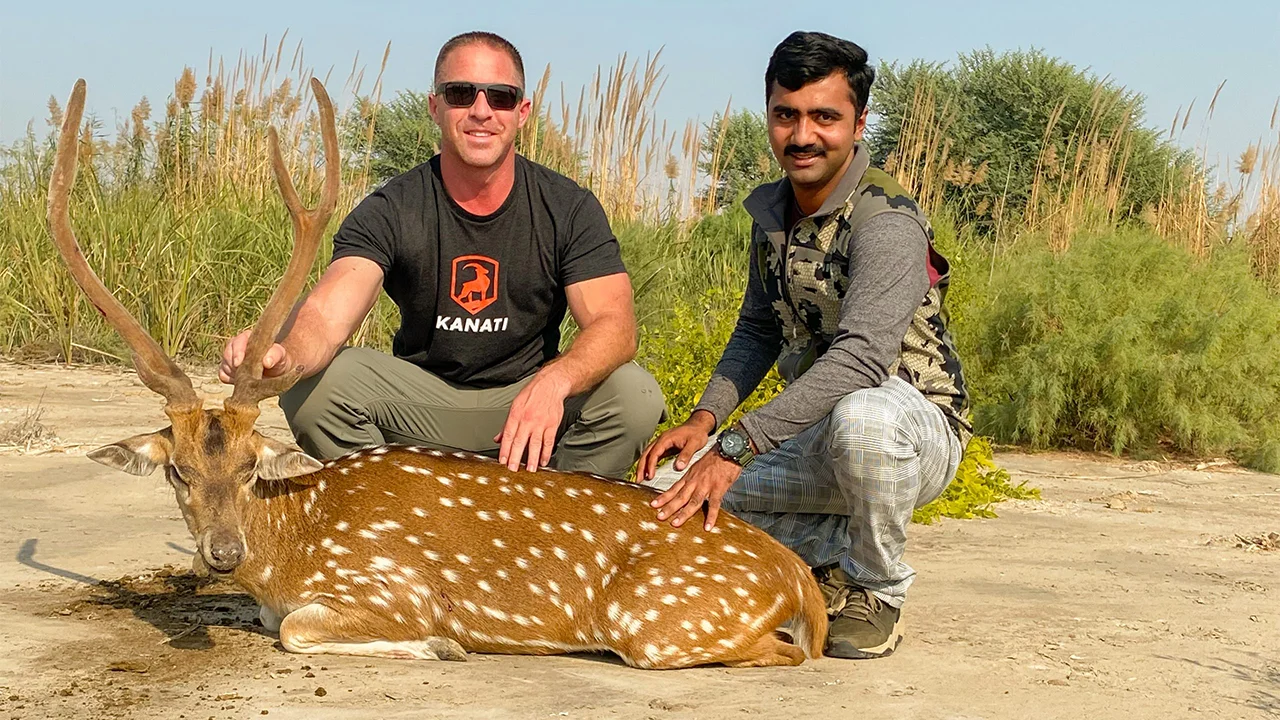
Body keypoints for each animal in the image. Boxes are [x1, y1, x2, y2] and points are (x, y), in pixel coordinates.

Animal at [46, 77, 828, 669]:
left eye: (247, 466)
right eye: (178, 470)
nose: (221, 551)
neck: (288, 553)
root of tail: (798, 577)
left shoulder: (389, 585)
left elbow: (296, 630)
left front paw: (440, 644)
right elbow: (279, 623)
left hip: (662, 622)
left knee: (783, 652)